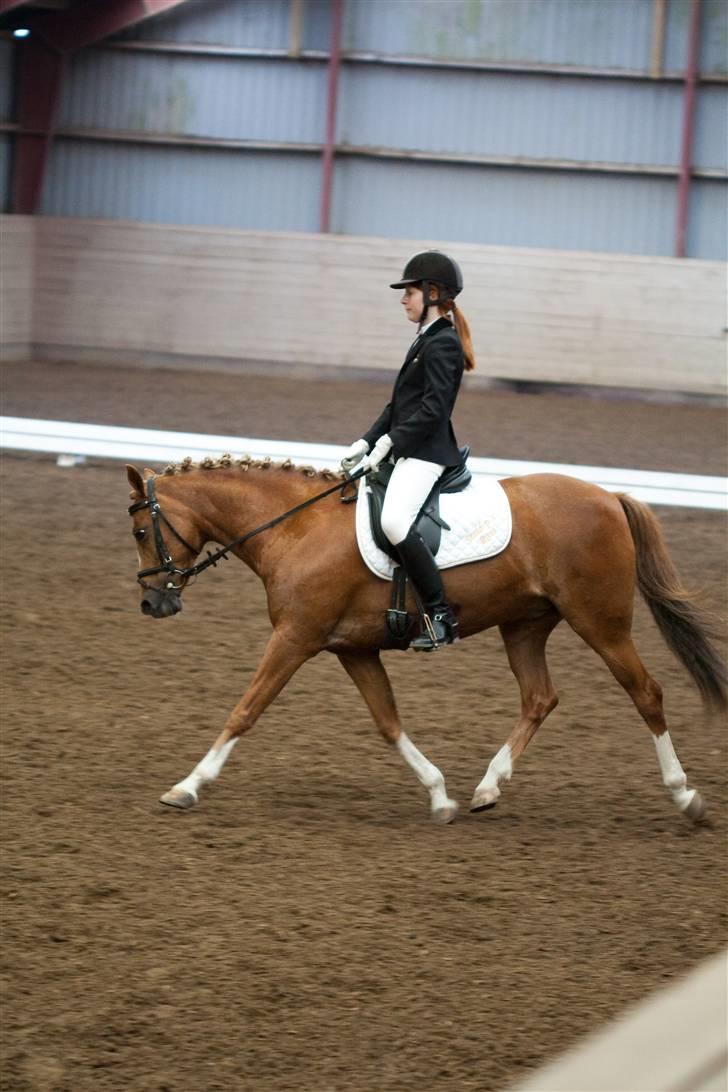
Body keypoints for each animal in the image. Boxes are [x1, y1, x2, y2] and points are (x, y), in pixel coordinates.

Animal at [128, 456, 724, 821]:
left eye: (139, 531)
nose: (152, 604)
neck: (295, 528)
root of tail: (610, 496)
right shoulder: (352, 649)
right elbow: (388, 722)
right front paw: (439, 796)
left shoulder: (295, 638)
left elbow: (245, 710)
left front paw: (187, 786)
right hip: (524, 626)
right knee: (539, 697)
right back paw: (487, 788)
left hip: (600, 621)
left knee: (645, 693)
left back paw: (685, 796)